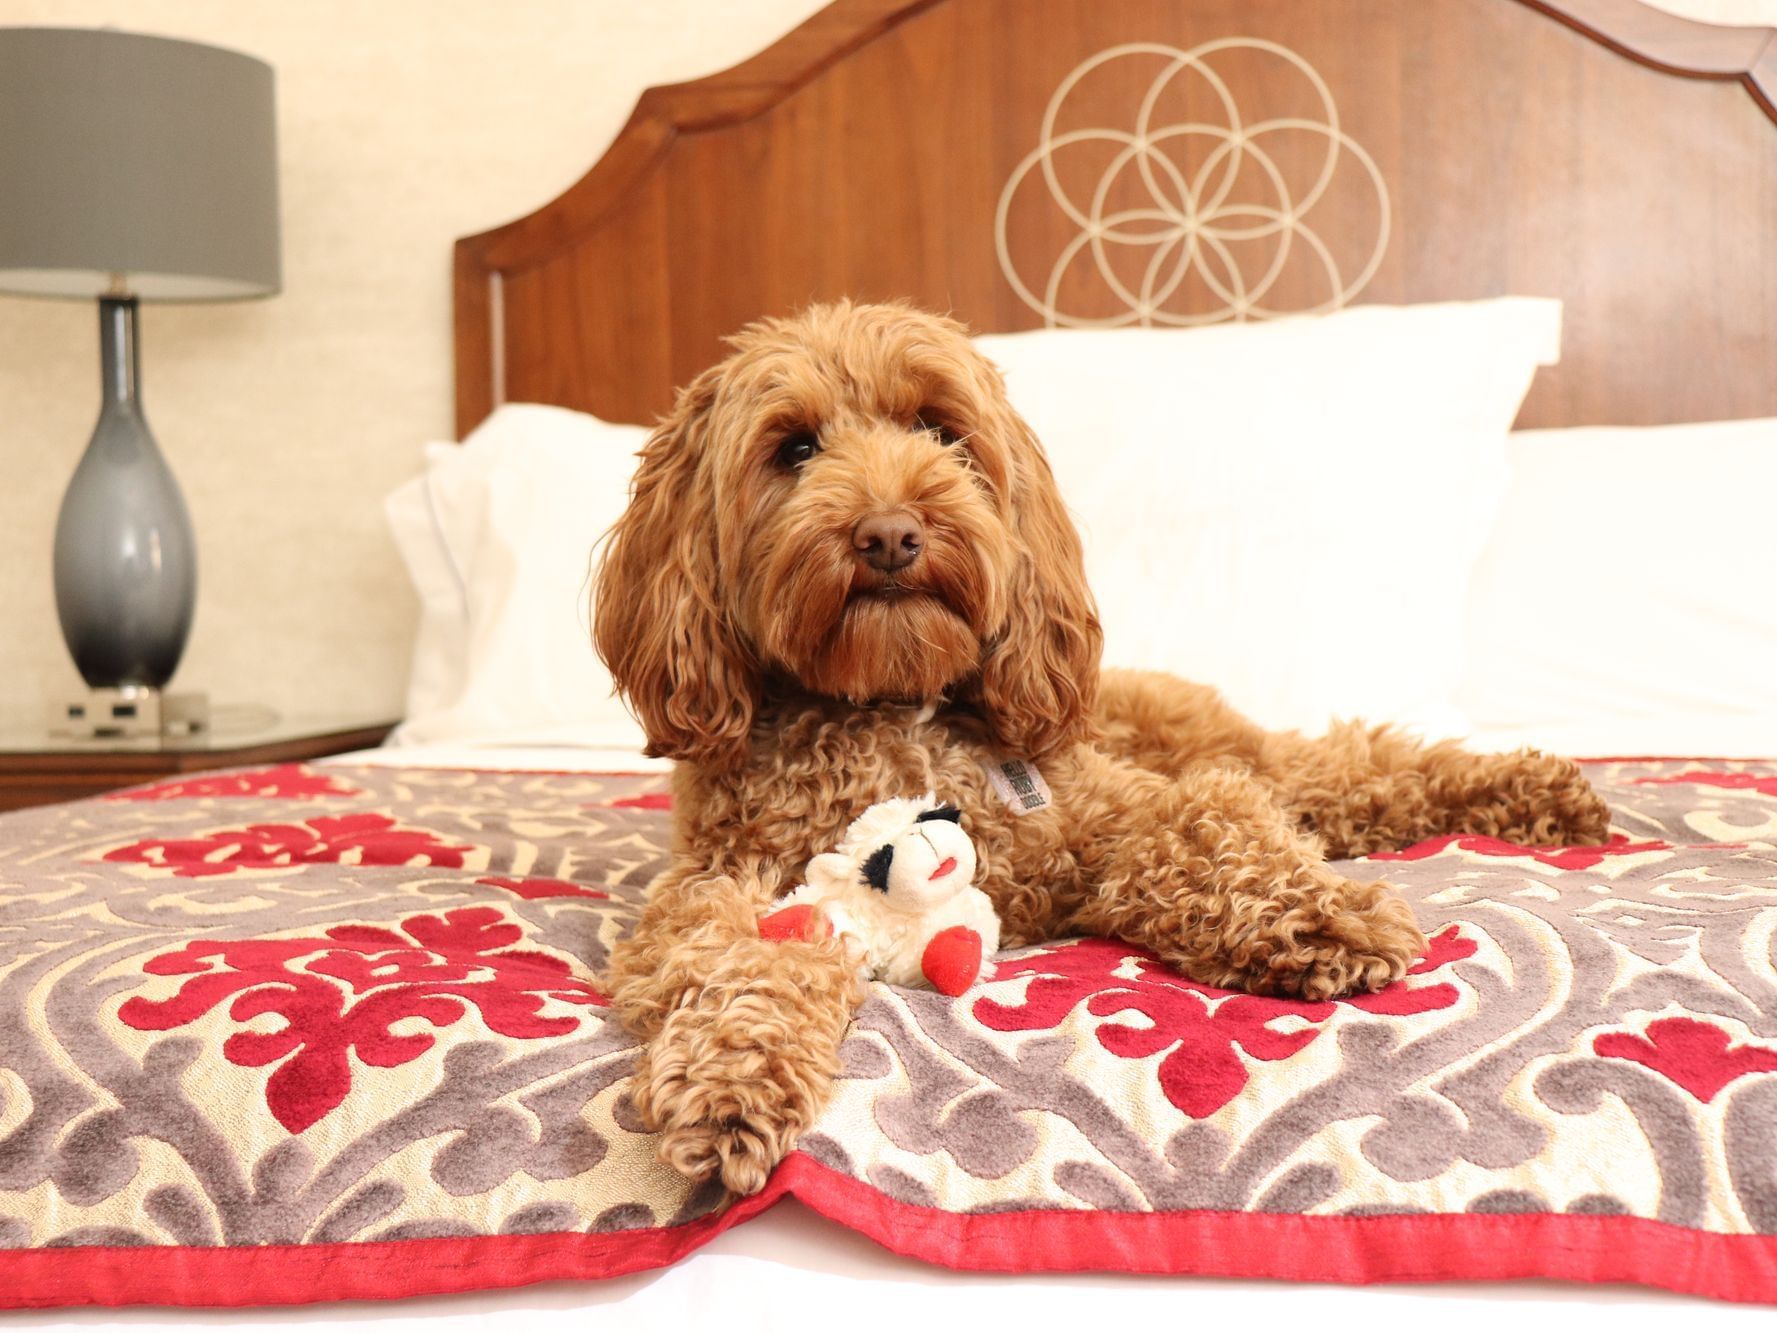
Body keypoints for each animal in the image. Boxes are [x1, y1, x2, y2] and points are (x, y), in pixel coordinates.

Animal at [593, 302, 1613, 1201]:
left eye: (940, 430)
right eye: (794, 449)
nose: (888, 533)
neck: (887, 704)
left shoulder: (1113, 812)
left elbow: (1202, 826)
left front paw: (1319, 917)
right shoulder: (720, 881)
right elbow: (736, 962)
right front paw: (730, 1080)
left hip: (1235, 751)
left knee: (1350, 762)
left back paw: (1540, 789)